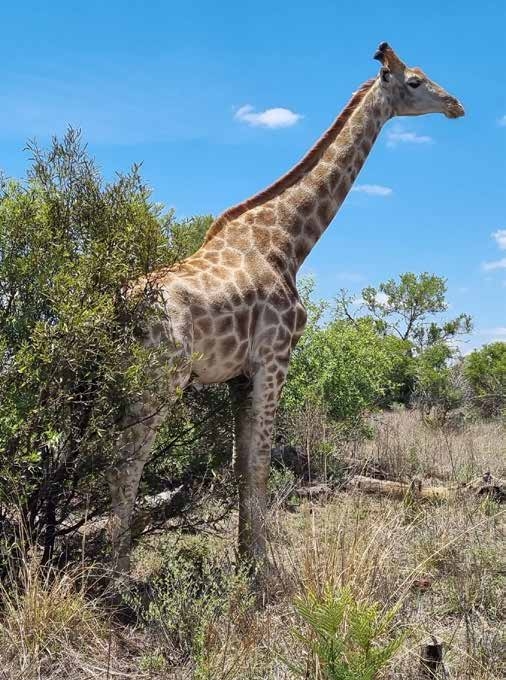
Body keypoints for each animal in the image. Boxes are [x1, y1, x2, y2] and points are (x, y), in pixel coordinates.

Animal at [107, 42, 464, 573]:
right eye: (415, 81)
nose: (456, 104)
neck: (289, 242)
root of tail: (117, 308)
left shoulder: (238, 375)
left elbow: (240, 465)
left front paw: (243, 558)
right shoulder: (275, 358)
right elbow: (259, 465)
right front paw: (260, 568)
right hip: (159, 379)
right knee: (126, 464)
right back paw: (114, 577)